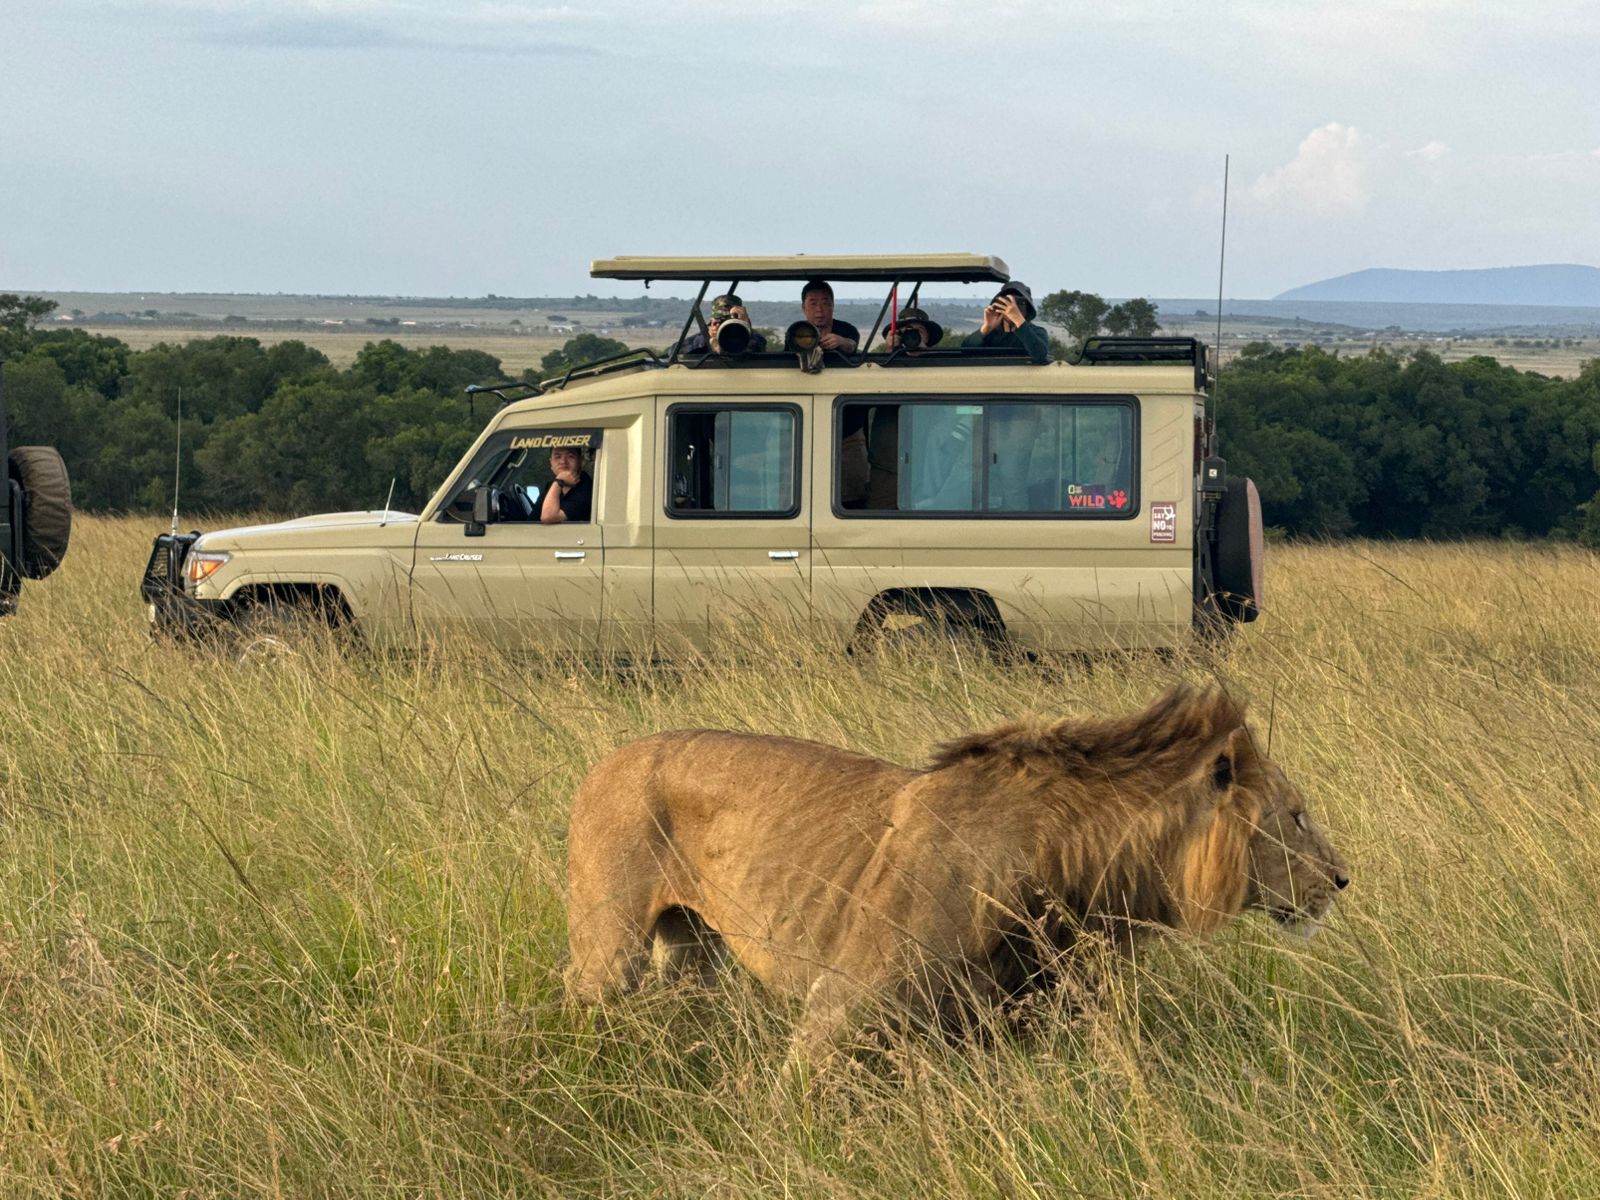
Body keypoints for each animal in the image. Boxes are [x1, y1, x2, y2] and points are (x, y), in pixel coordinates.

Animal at [564, 684, 1349, 1072]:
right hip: (610, 949)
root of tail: (602, 762)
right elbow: (798, 1098)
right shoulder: (843, 1001)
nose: (1343, 879)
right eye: (1296, 816)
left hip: (691, 955)